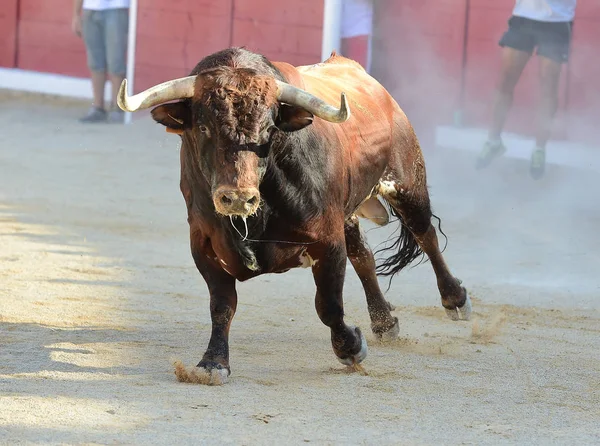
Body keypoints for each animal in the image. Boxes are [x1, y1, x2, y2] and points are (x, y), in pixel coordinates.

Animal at [118, 47, 474, 386]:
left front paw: (350, 348)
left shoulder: (327, 240)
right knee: (364, 255)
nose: (237, 197)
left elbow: (328, 303)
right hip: (347, 214)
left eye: (268, 129)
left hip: (407, 183)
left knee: (424, 234)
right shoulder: (203, 244)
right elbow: (222, 305)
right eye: (203, 127)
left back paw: (455, 300)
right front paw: (212, 363)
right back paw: (384, 322)